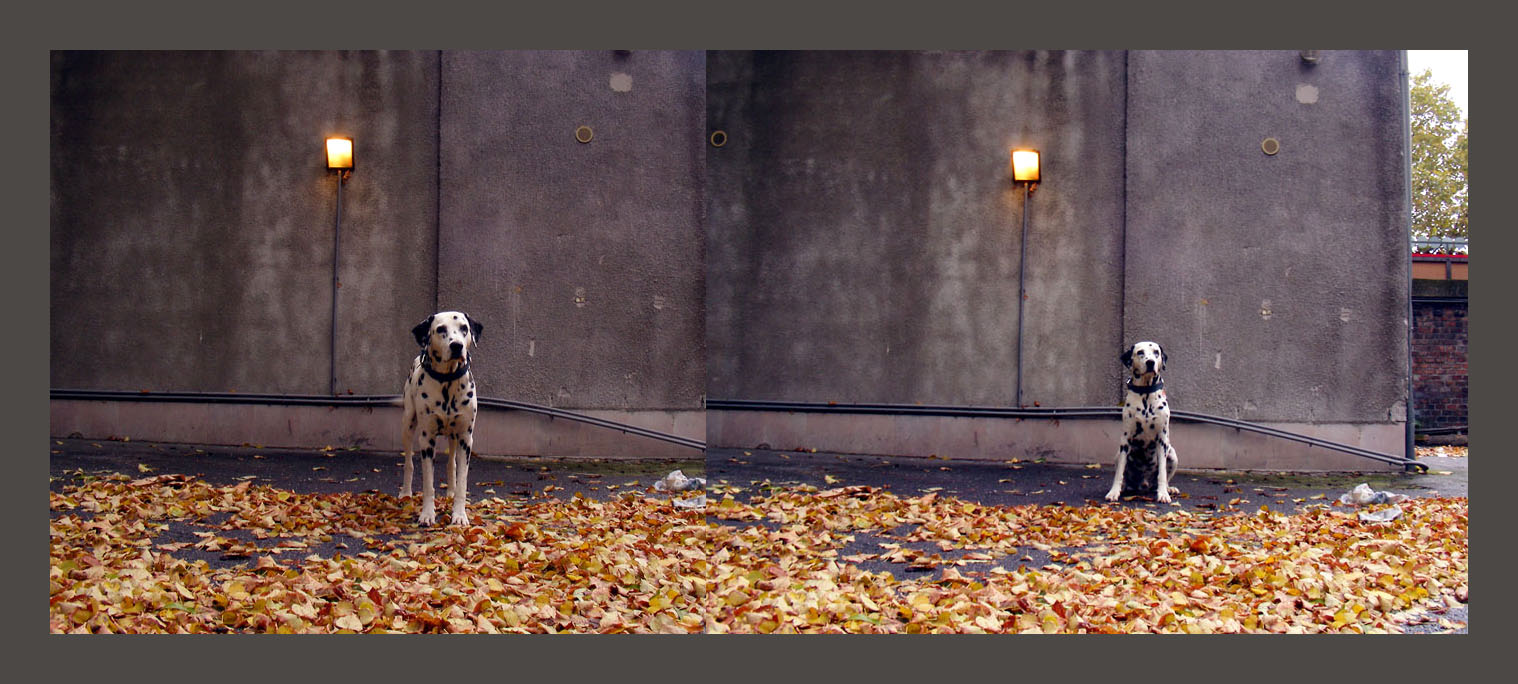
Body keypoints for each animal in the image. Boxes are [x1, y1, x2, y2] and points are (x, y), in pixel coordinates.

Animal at [400, 313, 482, 527]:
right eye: (440, 329)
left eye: (464, 328)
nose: (456, 346)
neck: (447, 382)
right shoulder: (427, 440)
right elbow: (428, 484)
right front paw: (427, 514)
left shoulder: (466, 439)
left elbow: (462, 481)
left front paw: (459, 514)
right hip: (408, 424)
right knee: (408, 463)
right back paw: (405, 492)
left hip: (454, 437)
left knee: (451, 464)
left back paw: (450, 491)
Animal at [1105, 341, 1184, 503]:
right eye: (1140, 352)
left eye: (1156, 352)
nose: (1150, 362)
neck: (1146, 394)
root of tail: (1143, 484)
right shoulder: (1125, 440)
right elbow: (1119, 472)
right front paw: (1114, 492)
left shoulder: (1162, 441)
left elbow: (1162, 473)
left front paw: (1163, 494)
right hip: (1118, 454)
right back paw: (1125, 487)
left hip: (1172, 454)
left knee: (1163, 478)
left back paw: (1168, 488)